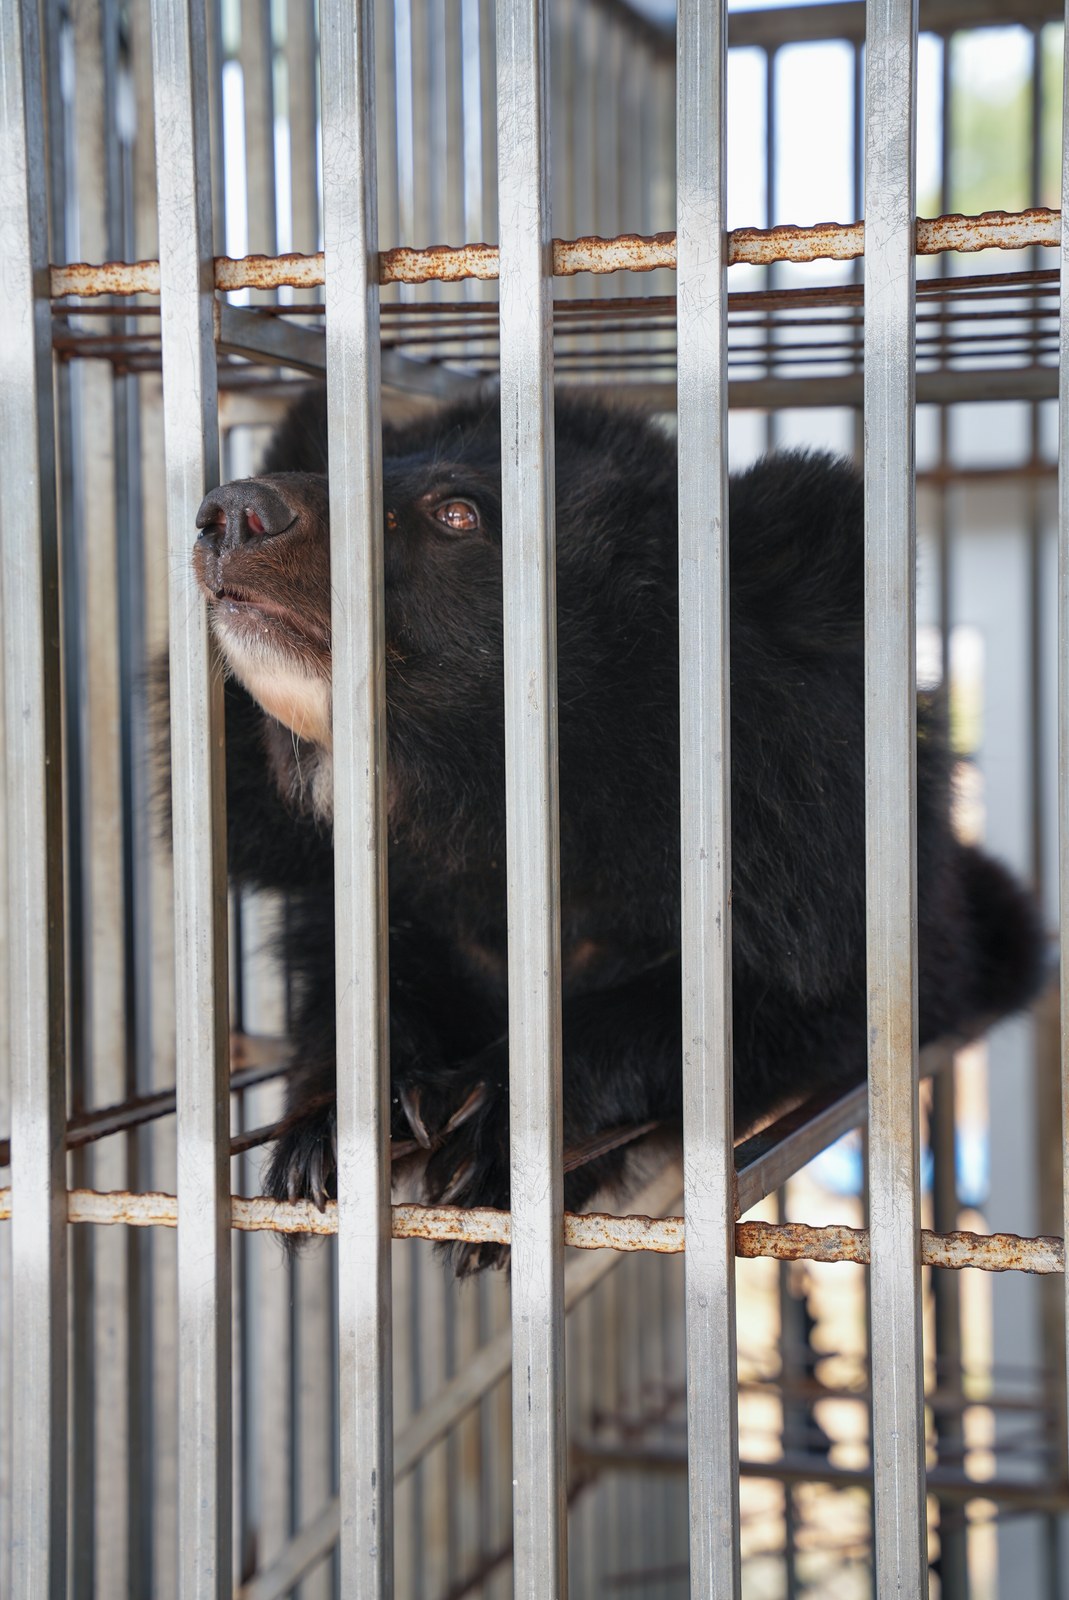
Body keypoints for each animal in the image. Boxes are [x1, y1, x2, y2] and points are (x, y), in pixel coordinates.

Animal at [194, 386, 1045, 1273]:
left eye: (459, 513)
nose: (231, 512)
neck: (485, 815)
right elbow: (356, 978)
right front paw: (325, 1139)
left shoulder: (821, 871)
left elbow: (780, 1006)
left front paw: (486, 1134)